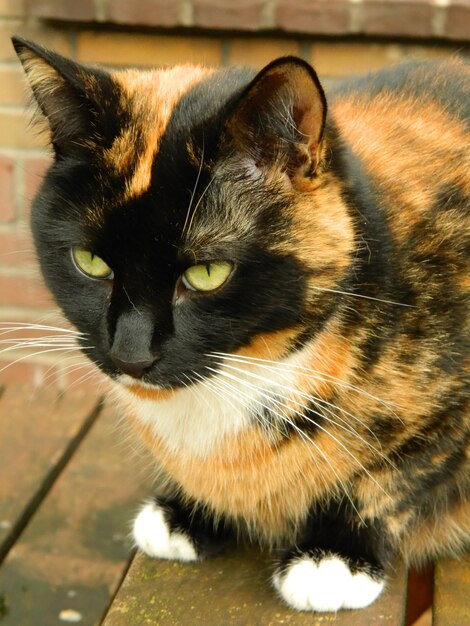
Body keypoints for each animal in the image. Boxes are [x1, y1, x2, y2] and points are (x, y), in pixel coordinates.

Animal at [11, 34, 470, 608]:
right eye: (90, 262)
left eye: (207, 273)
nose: (129, 354)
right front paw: (187, 515)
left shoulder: (449, 414)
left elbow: (399, 474)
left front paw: (334, 557)